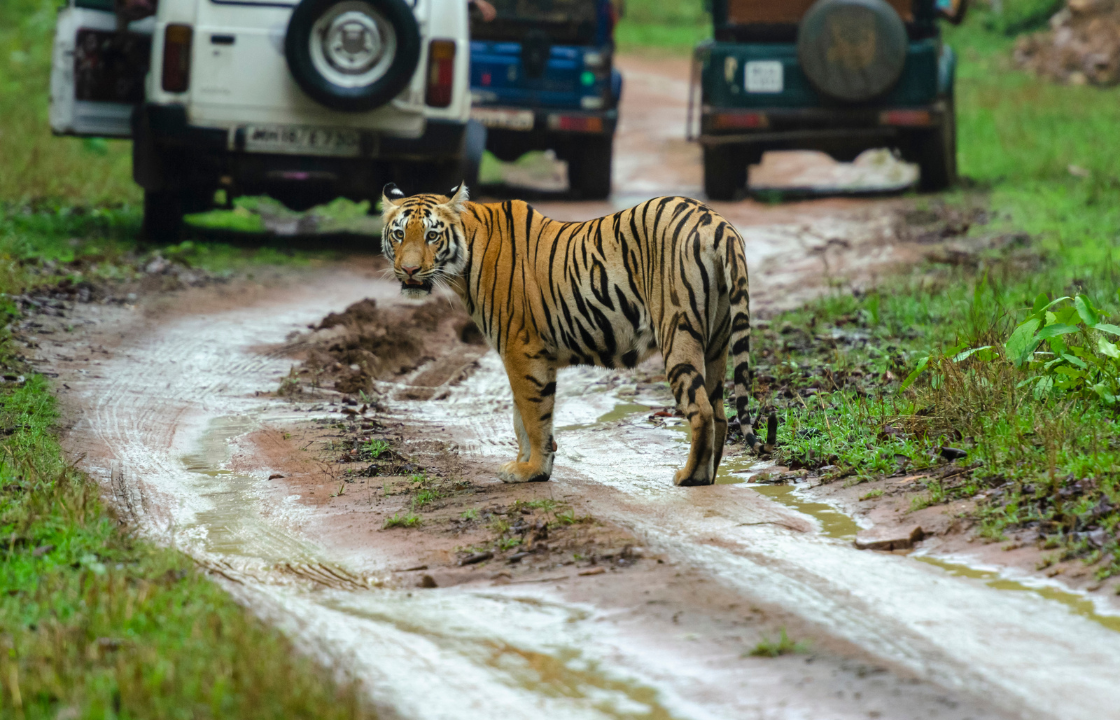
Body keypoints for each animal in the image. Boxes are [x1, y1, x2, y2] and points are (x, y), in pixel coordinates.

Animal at [380, 182, 762, 486]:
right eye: (399, 234)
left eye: (432, 235)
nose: (409, 270)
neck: (466, 259)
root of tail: (716, 222)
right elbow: (521, 417)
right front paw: (527, 465)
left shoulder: (521, 350)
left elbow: (533, 415)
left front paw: (531, 470)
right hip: (717, 342)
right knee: (720, 411)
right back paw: (709, 474)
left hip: (678, 331)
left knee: (700, 409)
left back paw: (689, 477)